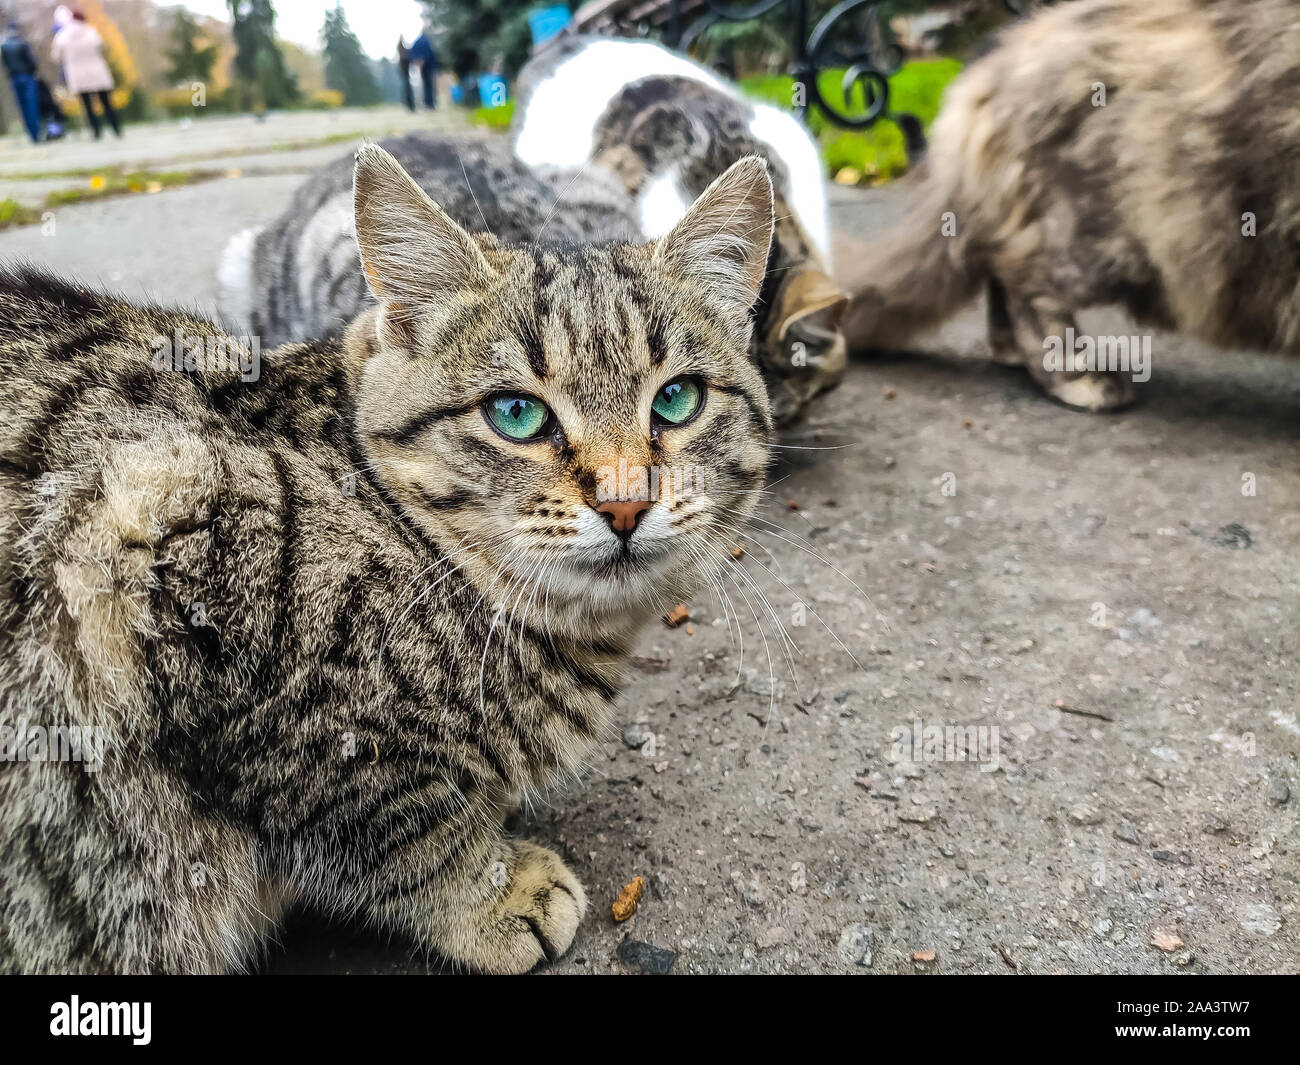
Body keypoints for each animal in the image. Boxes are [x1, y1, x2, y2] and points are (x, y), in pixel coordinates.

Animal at [0, 143, 769, 972]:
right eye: (516, 413)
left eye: (677, 400)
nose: (625, 502)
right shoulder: (142, 539)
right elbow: (399, 823)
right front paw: (496, 888)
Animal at [837, 0, 1300, 413]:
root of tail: (997, 58)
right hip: (1095, 240)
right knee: (1026, 286)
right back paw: (1080, 378)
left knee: (999, 274)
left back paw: (1011, 352)